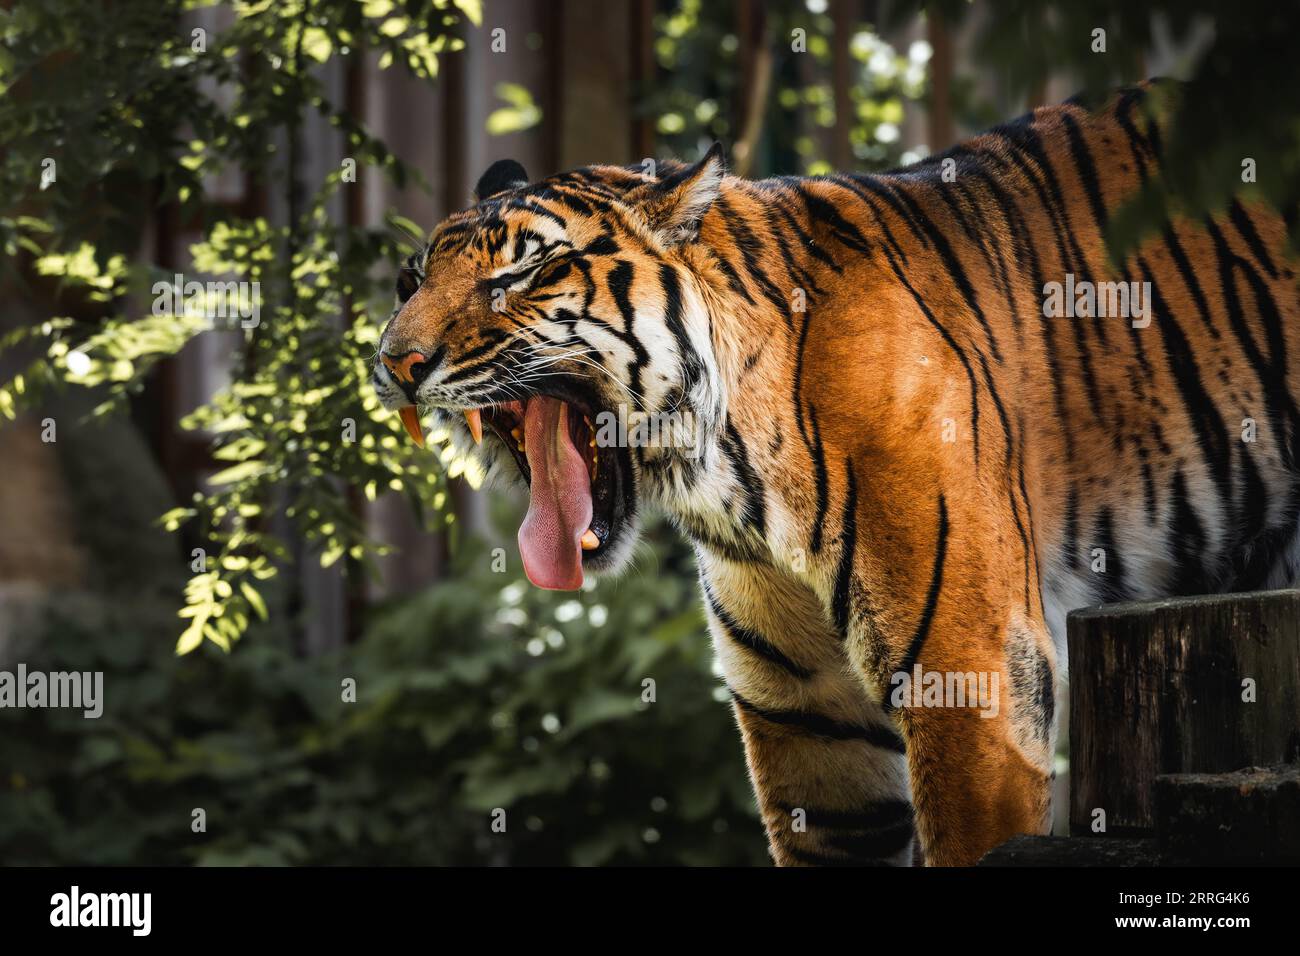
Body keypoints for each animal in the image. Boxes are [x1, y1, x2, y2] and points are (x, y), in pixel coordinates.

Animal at [373, 80, 1300, 866]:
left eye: (523, 272)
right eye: (410, 278)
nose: (395, 362)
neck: (734, 480)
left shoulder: (972, 671)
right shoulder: (805, 715)